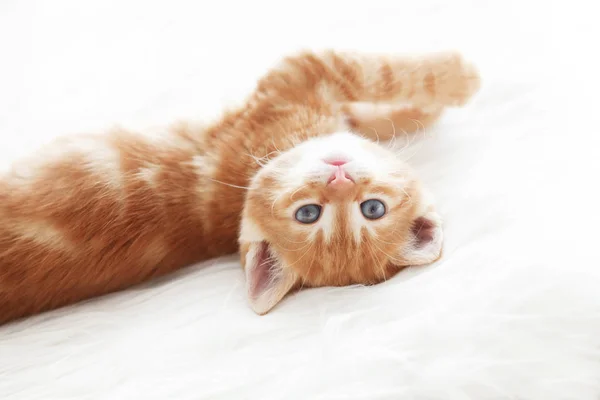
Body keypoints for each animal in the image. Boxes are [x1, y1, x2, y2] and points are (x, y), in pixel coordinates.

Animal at [0, 50, 480, 324]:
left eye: (372, 209)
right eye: (309, 214)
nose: (340, 177)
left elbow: (371, 107)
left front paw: (416, 112)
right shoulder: (300, 75)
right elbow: (380, 75)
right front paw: (458, 77)